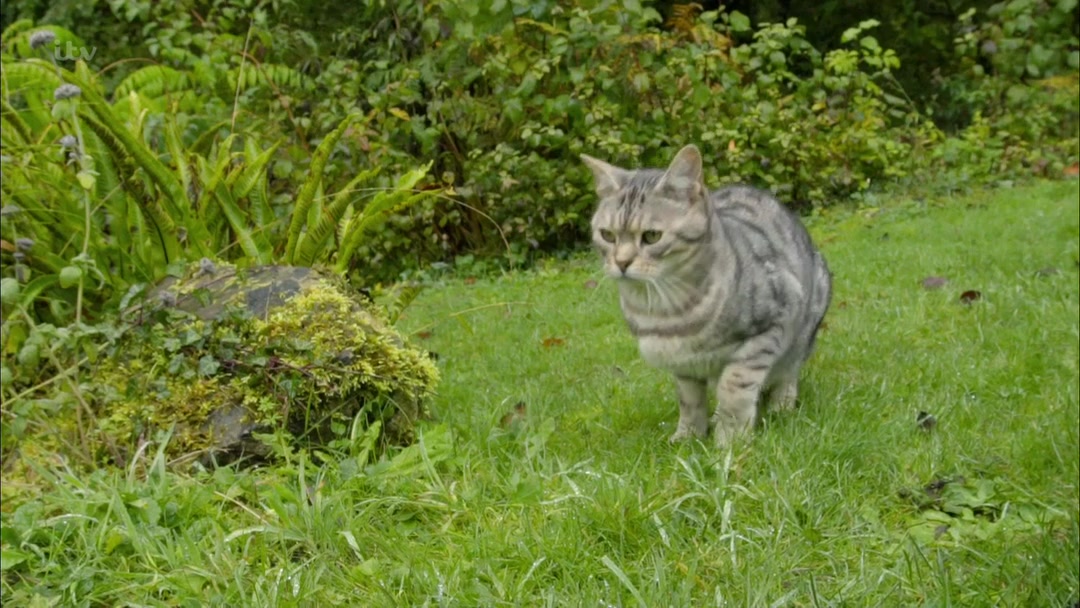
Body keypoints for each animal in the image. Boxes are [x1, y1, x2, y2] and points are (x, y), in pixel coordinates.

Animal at [578, 143, 829, 447]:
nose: (621, 262)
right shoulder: (683, 364)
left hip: (807, 318)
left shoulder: (773, 323)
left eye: (651, 236)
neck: (664, 309)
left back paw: (781, 404)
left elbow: (734, 386)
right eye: (607, 235)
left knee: (789, 369)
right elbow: (689, 400)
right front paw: (689, 435)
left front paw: (729, 440)